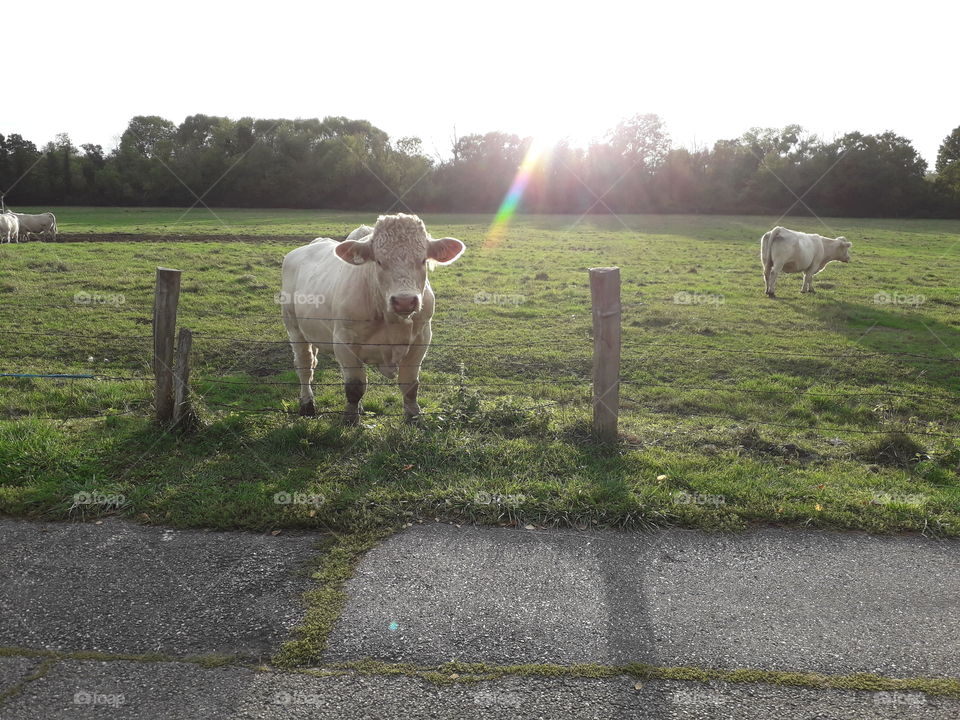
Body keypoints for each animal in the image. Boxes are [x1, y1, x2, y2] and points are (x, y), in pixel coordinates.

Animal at [280, 213, 465, 423]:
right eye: (378, 261)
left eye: (422, 259)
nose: (404, 301)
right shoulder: (344, 342)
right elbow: (354, 387)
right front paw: (350, 419)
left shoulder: (421, 340)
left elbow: (410, 385)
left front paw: (413, 417)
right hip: (294, 328)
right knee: (305, 366)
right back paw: (307, 404)